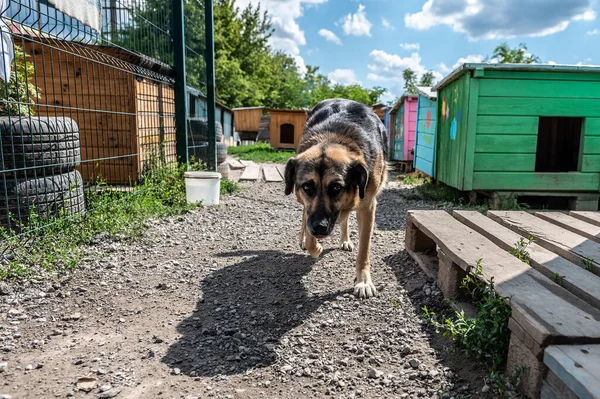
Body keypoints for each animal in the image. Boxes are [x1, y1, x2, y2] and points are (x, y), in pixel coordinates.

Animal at [284, 98, 390, 298]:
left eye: (336, 188)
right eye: (307, 187)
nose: (319, 227)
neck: (332, 138)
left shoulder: (367, 207)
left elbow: (364, 251)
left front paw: (363, 281)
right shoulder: (309, 208)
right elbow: (309, 231)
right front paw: (314, 246)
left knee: (345, 219)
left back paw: (345, 240)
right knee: (304, 215)